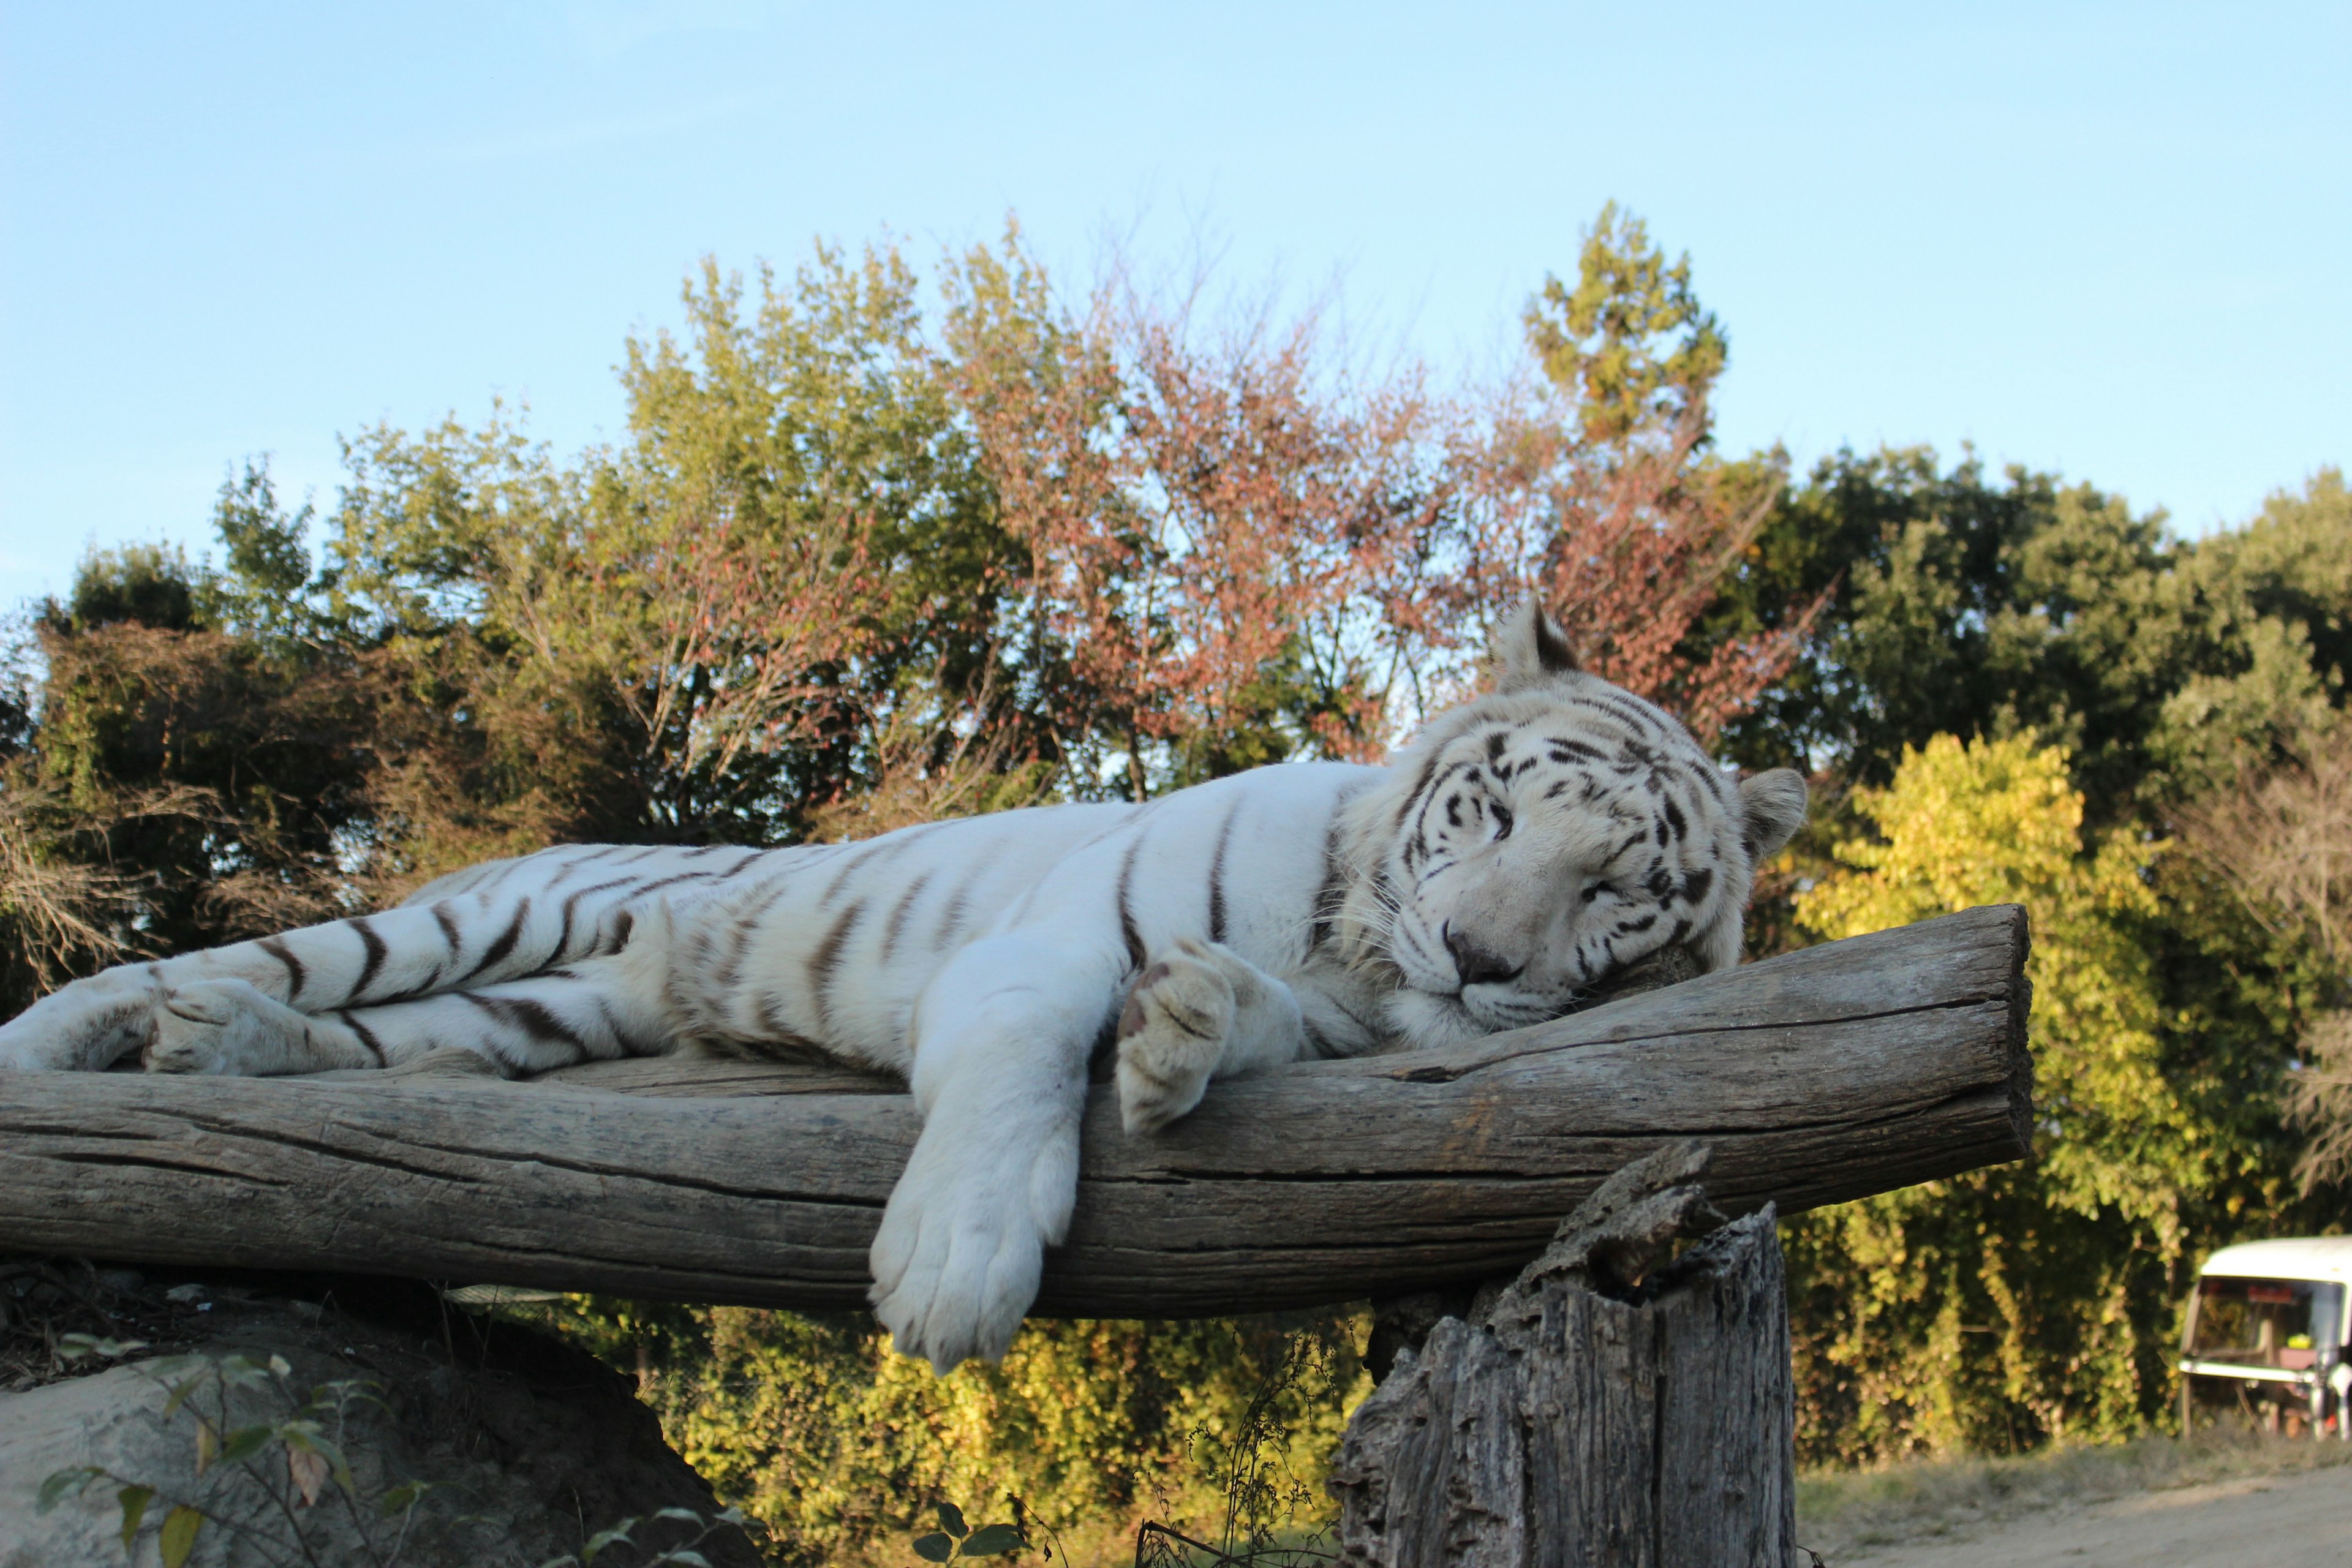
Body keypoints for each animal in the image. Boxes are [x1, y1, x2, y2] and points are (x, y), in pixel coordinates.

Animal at [0, 606, 1806, 1363]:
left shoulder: (1333, 1011)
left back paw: (219, 1049)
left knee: (373, 1044)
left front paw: (1182, 1034)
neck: (1355, 949)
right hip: (480, 919)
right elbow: (1019, 1062)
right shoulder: (1041, 944)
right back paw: (82, 1036)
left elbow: (1239, 1017)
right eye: (1488, 815)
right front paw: (952, 1270)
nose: (1479, 956)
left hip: (539, 1010)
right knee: (241, 958)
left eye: (1613, 890)